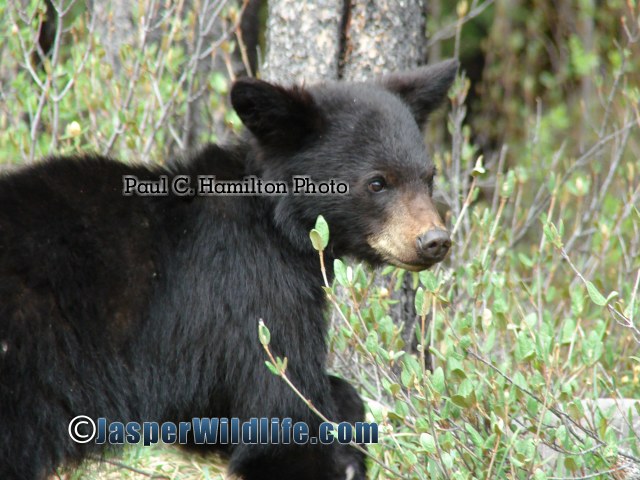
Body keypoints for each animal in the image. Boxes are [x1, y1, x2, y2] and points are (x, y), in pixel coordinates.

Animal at [0, 59, 457, 480]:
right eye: (377, 182)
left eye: (429, 177)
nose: (435, 240)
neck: (277, 220)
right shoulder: (251, 290)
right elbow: (276, 413)